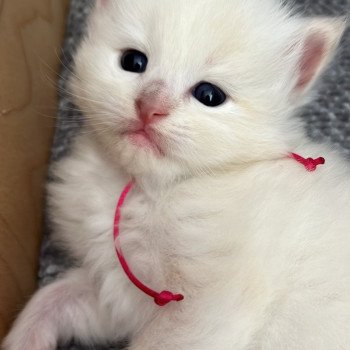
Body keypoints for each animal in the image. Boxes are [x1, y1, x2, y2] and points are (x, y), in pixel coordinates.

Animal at [3, 0, 350, 350]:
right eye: (133, 61)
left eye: (209, 95)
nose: (149, 106)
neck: (147, 189)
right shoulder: (116, 287)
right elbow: (52, 297)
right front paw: (22, 339)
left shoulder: (210, 307)